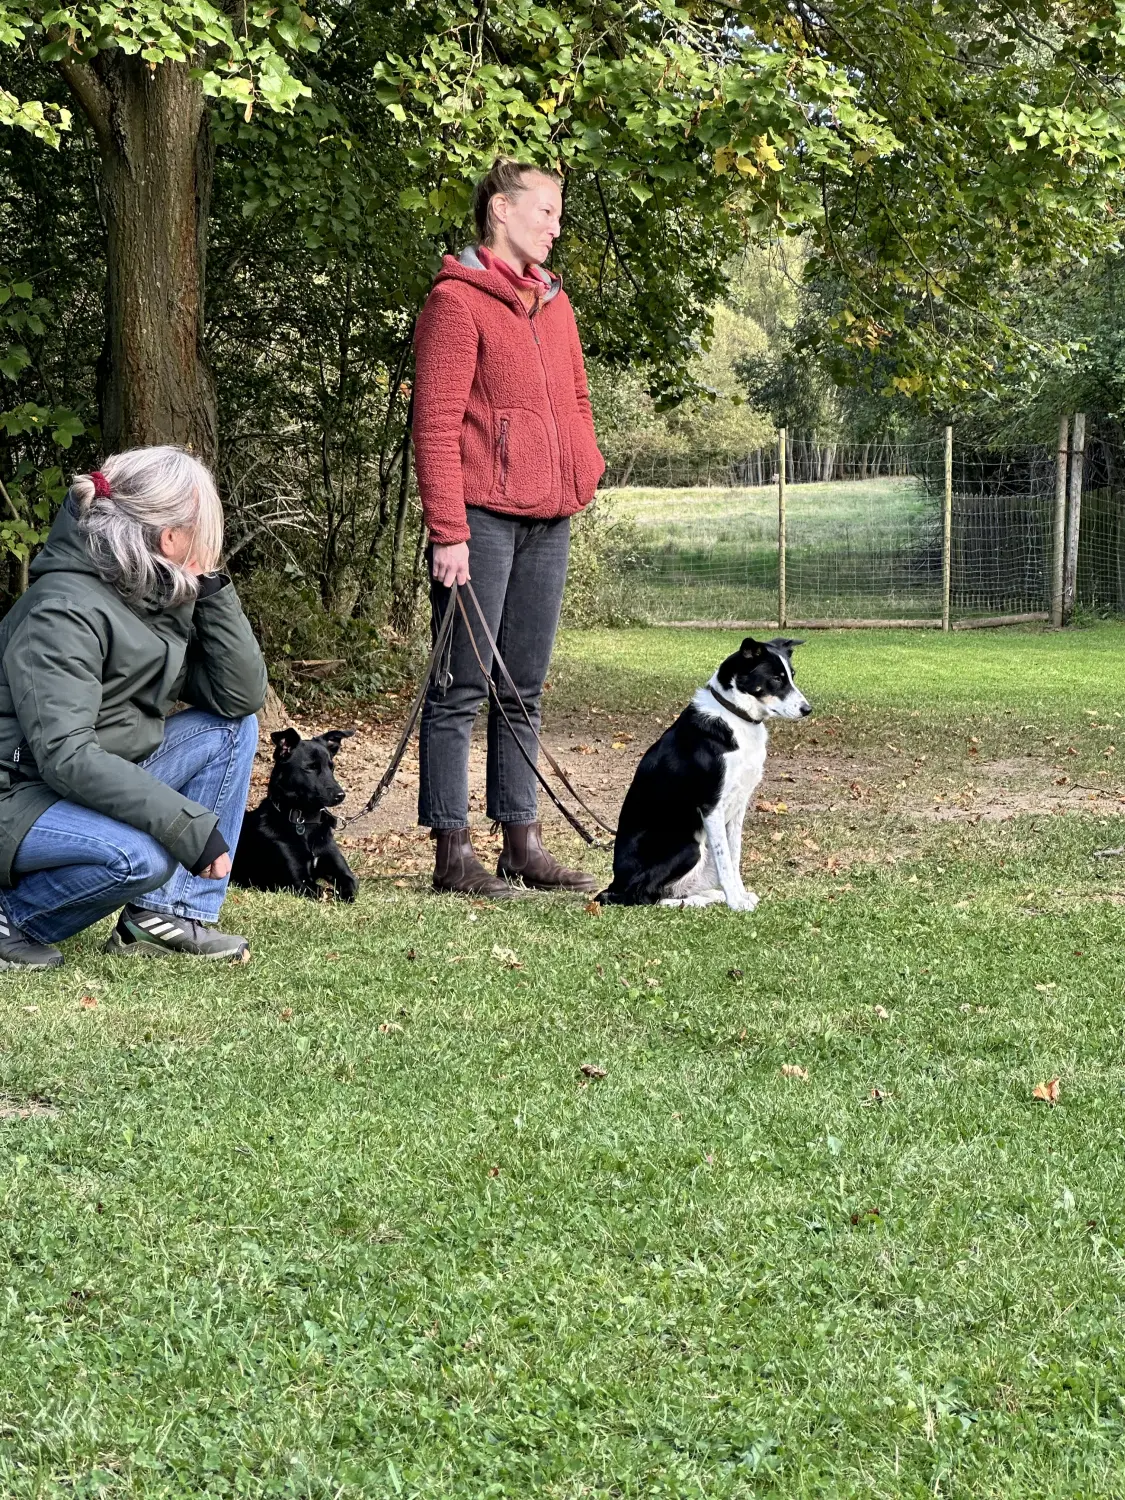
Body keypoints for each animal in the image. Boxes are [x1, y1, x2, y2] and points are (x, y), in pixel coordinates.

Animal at [234, 726, 361, 900]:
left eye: (332, 767)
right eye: (310, 767)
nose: (340, 795)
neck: (304, 821)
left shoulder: (342, 872)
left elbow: (350, 884)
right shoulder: (300, 882)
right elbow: (325, 893)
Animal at [600, 636, 810, 906]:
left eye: (791, 676)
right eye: (775, 678)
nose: (807, 709)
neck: (736, 716)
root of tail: (614, 884)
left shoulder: (738, 806)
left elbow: (733, 858)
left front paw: (739, 895)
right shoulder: (711, 806)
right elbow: (725, 863)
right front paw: (736, 903)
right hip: (688, 846)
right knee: (645, 896)